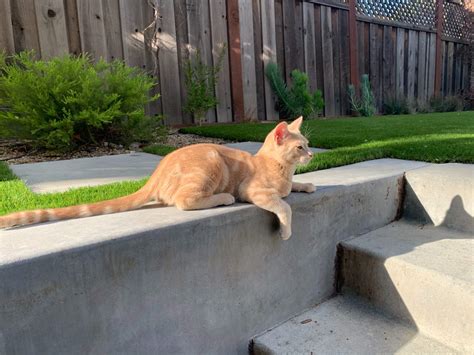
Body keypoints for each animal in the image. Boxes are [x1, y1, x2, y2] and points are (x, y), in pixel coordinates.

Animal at [0, 117, 314, 239]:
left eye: (309, 144)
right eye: (300, 147)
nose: (311, 155)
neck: (279, 169)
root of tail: (158, 169)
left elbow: (291, 189)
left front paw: (307, 184)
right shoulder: (253, 190)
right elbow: (283, 205)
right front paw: (286, 230)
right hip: (211, 162)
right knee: (184, 201)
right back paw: (223, 197)